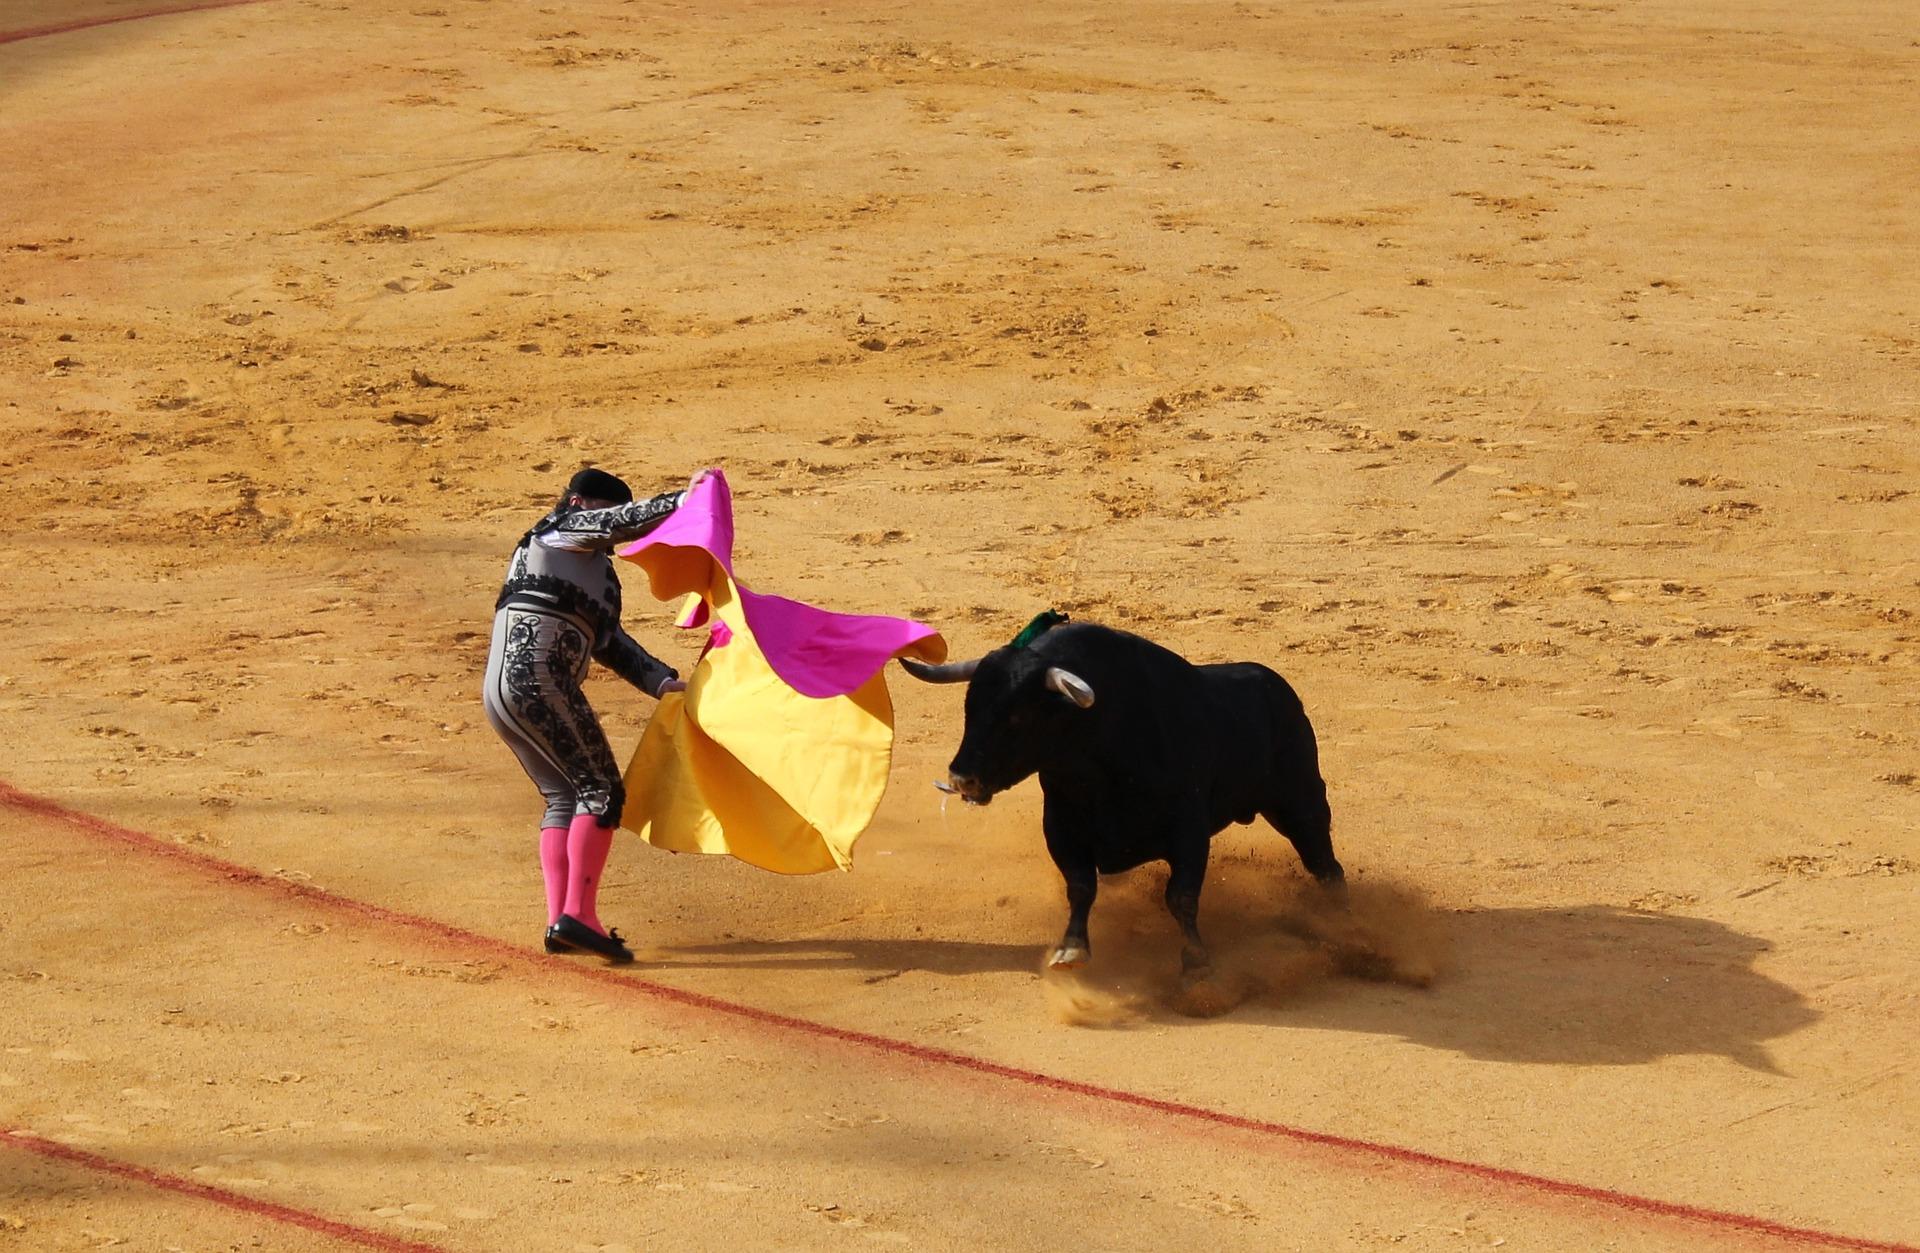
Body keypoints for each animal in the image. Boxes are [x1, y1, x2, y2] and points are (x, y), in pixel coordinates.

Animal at [902, 614, 1344, 978]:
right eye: (969, 709)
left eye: (1017, 716)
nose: (961, 778)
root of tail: (1280, 690)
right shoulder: (1062, 826)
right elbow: (1081, 887)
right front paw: (1070, 950)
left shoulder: (1189, 829)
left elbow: (1181, 896)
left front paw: (1197, 961)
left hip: (1301, 801)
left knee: (1324, 863)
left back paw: (1341, 918)